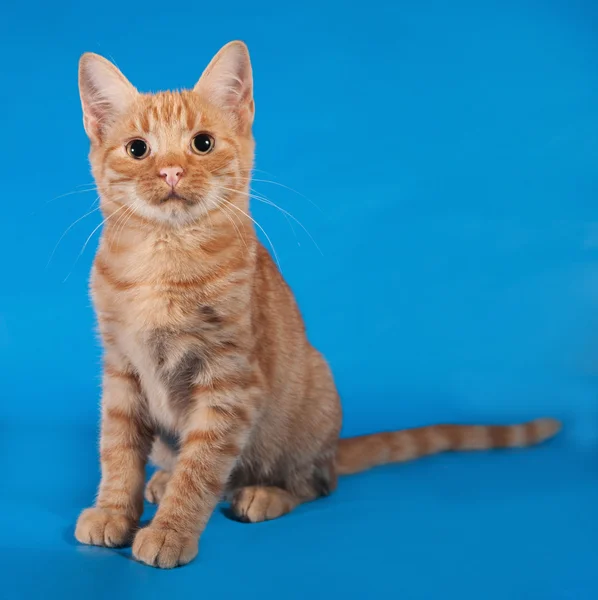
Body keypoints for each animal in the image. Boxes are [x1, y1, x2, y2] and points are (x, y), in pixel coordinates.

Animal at [74, 41, 564, 568]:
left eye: (201, 143)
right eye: (138, 149)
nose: (171, 171)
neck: (163, 260)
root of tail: (334, 447)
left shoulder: (229, 381)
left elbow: (202, 466)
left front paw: (171, 531)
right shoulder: (122, 370)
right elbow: (118, 452)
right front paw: (113, 512)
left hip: (312, 397)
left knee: (313, 484)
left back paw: (262, 494)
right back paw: (163, 479)